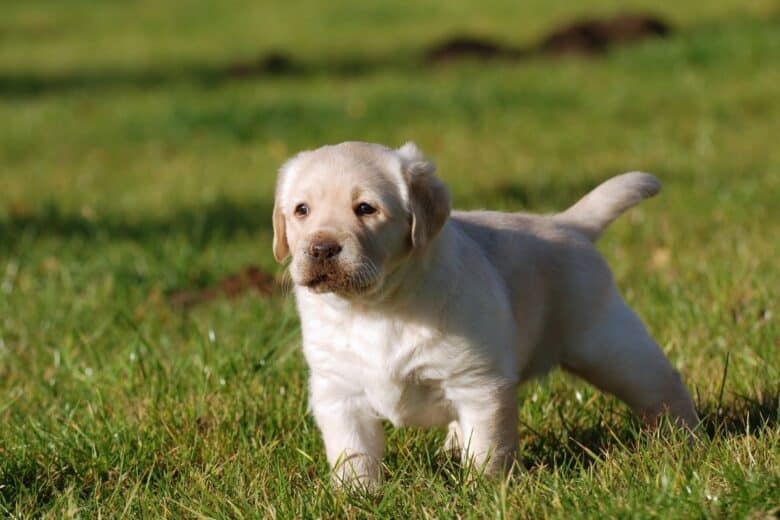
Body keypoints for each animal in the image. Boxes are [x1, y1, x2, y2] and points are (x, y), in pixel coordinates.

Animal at [272, 141, 696, 488]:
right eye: (301, 210)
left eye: (365, 209)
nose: (321, 248)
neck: (377, 307)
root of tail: (566, 223)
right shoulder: (338, 390)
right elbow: (353, 452)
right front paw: (356, 495)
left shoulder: (478, 383)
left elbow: (488, 447)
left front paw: (485, 492)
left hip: (606, 344)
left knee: (662, 384)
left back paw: (684, 439)